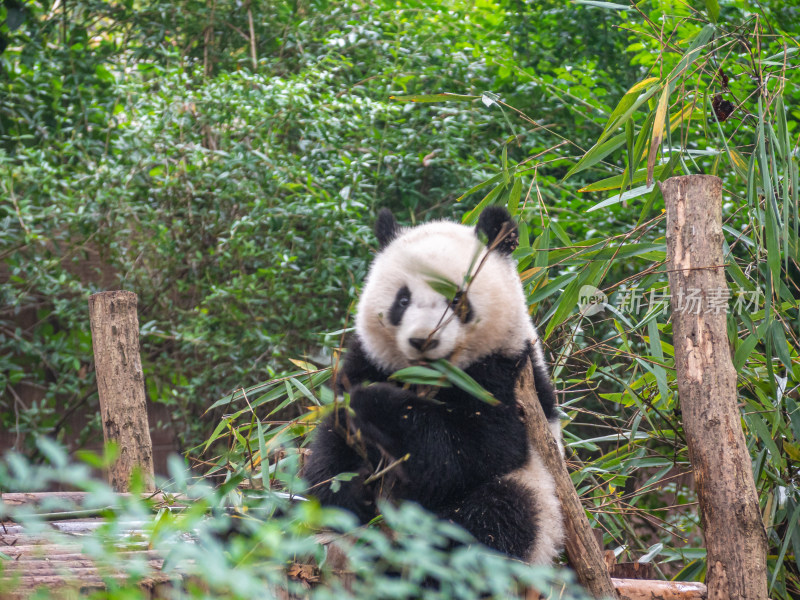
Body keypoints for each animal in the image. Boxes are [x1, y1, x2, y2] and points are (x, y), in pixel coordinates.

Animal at [304, 206, 564, 564]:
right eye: (402, 300)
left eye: (456, 299)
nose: (422, 340)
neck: (425, 377)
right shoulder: (368, 361)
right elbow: (335, 442)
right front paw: (351, 493)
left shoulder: (502, 376)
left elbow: (477, 449)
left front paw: (376, 401)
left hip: (535, 495)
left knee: (492, 520)